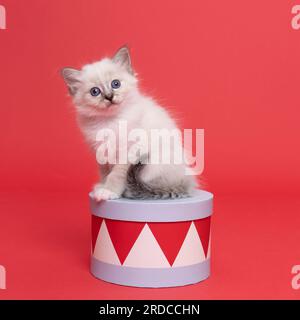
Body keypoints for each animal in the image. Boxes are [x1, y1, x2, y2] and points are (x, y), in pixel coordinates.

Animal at [61, 46, 197, 201]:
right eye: (95, 91)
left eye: (116, 84)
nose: (109, 97)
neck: (110, 121)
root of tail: (188, 183)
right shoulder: (102, 152)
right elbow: (105, 173)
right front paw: (102, 187)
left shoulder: (128, 152)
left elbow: (116, 175)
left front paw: (109, 191)